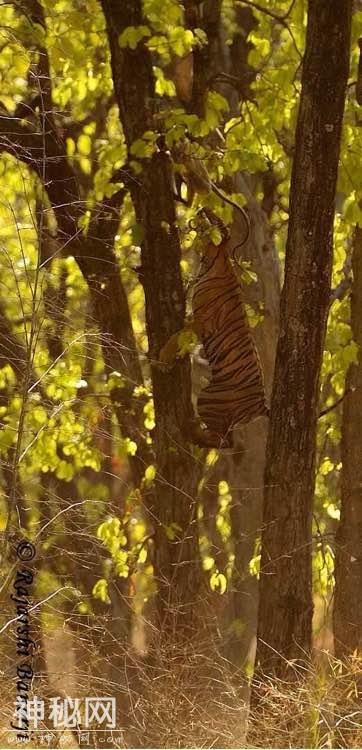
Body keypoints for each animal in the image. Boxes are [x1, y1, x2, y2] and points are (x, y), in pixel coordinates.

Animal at [192, 238, 268, 444]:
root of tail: (261, 404)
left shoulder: (200, 321)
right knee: (227, 441)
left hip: (208, 398)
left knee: (220, 441)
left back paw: (193, 431)